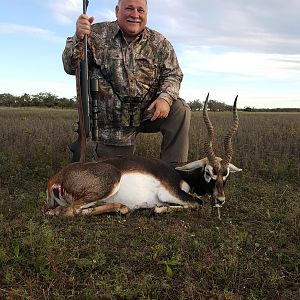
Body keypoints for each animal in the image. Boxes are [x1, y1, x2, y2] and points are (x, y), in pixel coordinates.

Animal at [46, 94, 241, 216]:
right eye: (208, 172)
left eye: (226, 174)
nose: (220, 200)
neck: (181, 174)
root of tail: (58, 177)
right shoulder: (170, 192)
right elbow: (197, 203)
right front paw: (157, 209)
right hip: (110, 181)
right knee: (68, 212)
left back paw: (121, 207)